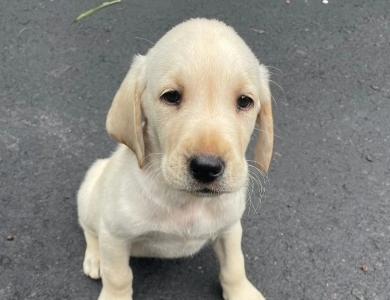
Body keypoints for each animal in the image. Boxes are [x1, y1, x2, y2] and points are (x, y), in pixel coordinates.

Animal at [77, 18, 272, 300]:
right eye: (171, 96)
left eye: (245, 101)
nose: (207, 168)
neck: (188, 203)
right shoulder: (114, 235)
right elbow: (119, 276)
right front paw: (114, 293)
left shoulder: (230, 228)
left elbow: (234, 266)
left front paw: (242, 292)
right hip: (89, 192)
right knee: (88, 228)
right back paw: (95, 258)